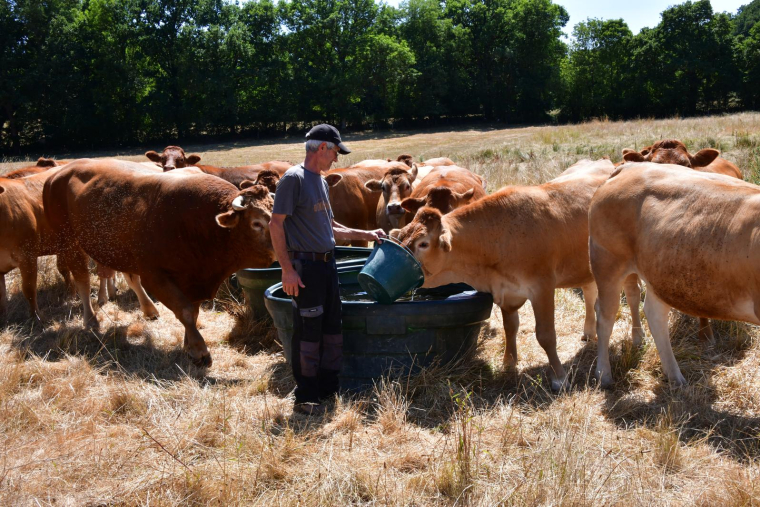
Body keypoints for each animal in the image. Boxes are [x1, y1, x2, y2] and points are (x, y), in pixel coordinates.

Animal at [43, 159, 276, 367]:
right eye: (257, 223)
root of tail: (58, 174)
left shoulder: (193, 278)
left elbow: (193, 311)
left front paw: (189, 345)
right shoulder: (155, 276)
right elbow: (185, 311)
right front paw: (199, 351)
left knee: (130, 277)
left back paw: (148, 309)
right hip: (69, 242)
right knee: (82, 279)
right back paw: (91, 319)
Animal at [390, 159, 643, 391]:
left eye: (423, 243)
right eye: (401, 237)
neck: (500, 235)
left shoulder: (542, 287)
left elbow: (545, 335)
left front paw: (559, 377)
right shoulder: (505, 291)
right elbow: (510, 327)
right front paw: (509, 363)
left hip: (623, 265)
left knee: (632, 295)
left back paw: (637, 338)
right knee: (590, 292)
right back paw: (589, 331)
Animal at [589, 162, 760, 387]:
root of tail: (629, 166)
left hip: (660, 272)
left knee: (654, 314)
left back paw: (675, 376)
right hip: (607, 261)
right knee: (605, 316)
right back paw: (604, 375)